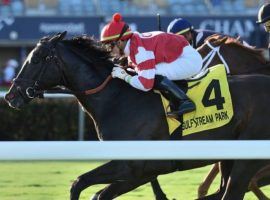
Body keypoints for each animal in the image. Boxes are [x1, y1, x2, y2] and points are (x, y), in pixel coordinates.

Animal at [4, 31, 270, 200]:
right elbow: (97, 194)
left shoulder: (135, 166)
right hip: (229, 159)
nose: (11, 94)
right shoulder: (139, 171)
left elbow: (79, 184)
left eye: (36, 59)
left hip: (247, 162)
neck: (118, 99)